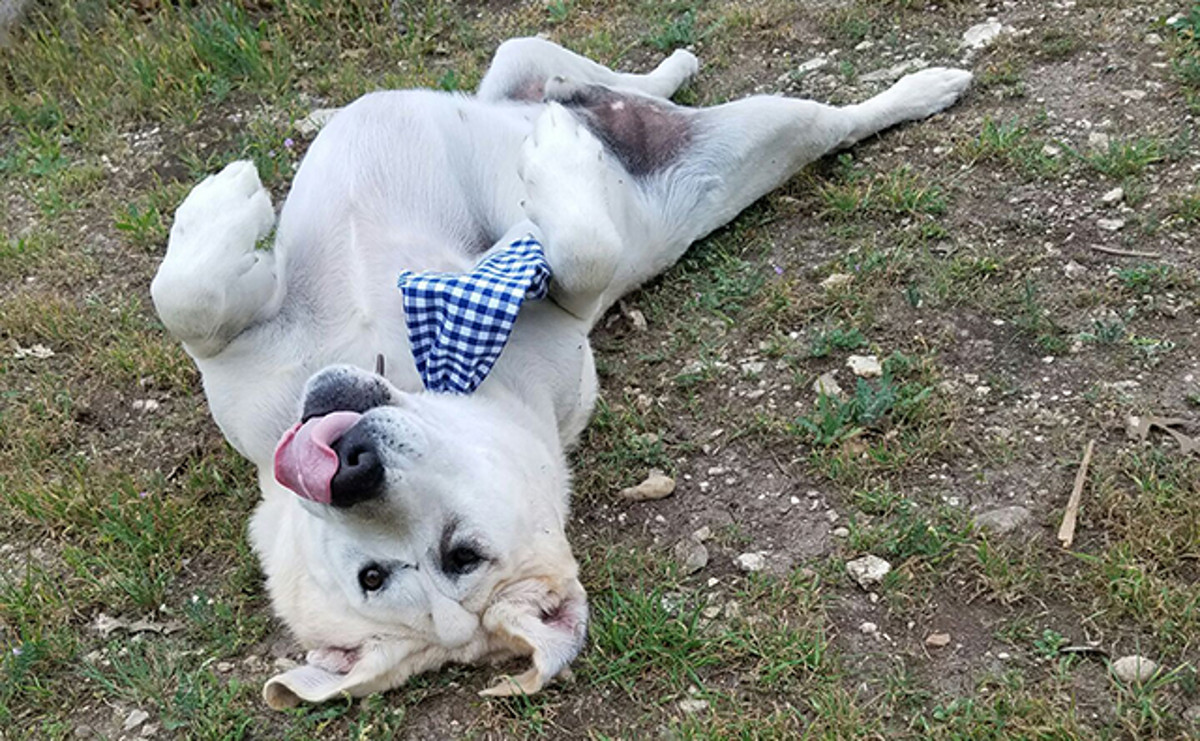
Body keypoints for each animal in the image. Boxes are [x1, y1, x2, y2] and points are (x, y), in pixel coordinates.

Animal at [152, 37, 974, 705]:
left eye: (460, 554)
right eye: (374, 577)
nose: (350, 470)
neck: (401, 362)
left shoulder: (550, 298)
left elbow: (185, 299)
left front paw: (221, 204)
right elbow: (186, 301)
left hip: (638, 96)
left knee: (625, 84)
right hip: (726, 132)